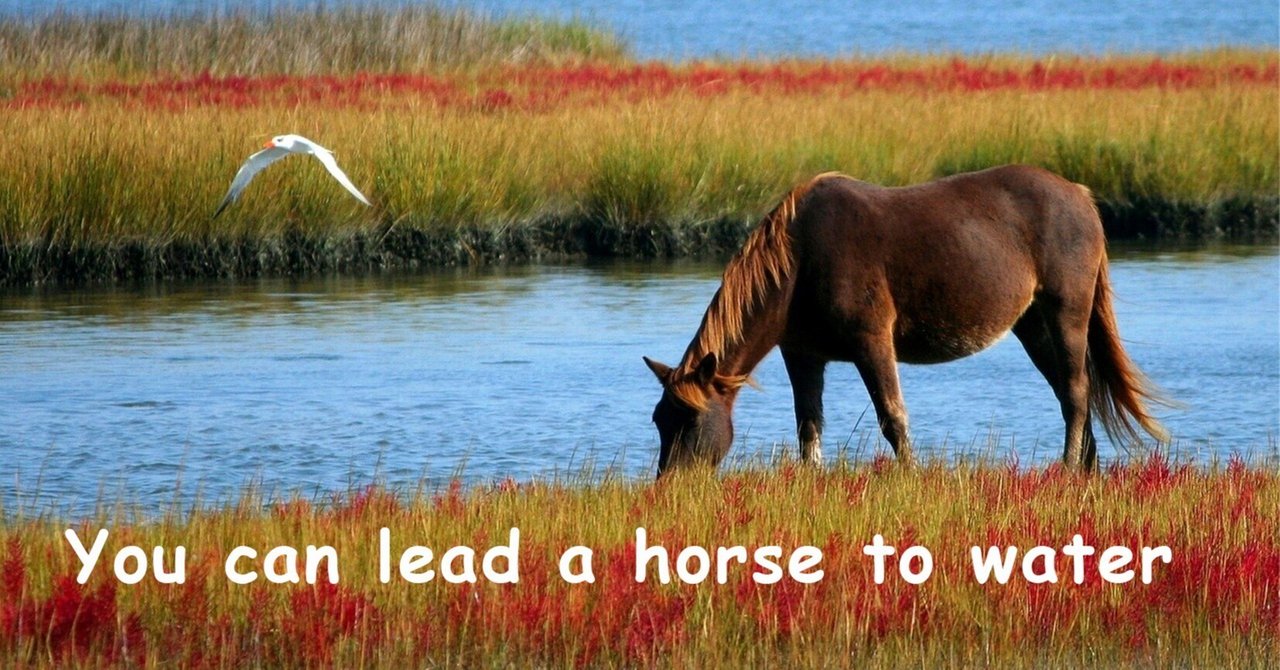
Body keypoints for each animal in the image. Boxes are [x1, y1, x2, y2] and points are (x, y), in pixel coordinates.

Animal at [644, 165, 1168, 478]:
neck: (799, 260)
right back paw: (1086, 468)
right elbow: (808, 426)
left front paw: (910, 477)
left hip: (1066, 313)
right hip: (1033, 326)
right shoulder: (803, 354)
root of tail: (1080, 195)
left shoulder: (872, 342)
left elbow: (893, 417)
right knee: (1069, 392)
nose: (670, 485)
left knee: (1077, 392)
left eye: (690, 420)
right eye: (658, 420)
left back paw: (1068, 468)